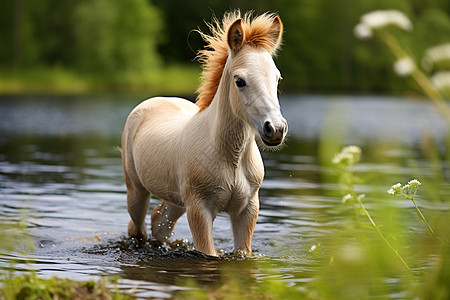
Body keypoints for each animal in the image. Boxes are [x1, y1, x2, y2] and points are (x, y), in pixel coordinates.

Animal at [121, 11, 286, 255]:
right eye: (240, 81)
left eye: (277, 79)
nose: (275, 129)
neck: (231, 157)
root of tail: (154, 100)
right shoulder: (199, 210)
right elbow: (208, 251)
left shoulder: (248, 209)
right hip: (137, 190)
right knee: (137, 227)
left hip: (177, 199)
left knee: (159, 222)